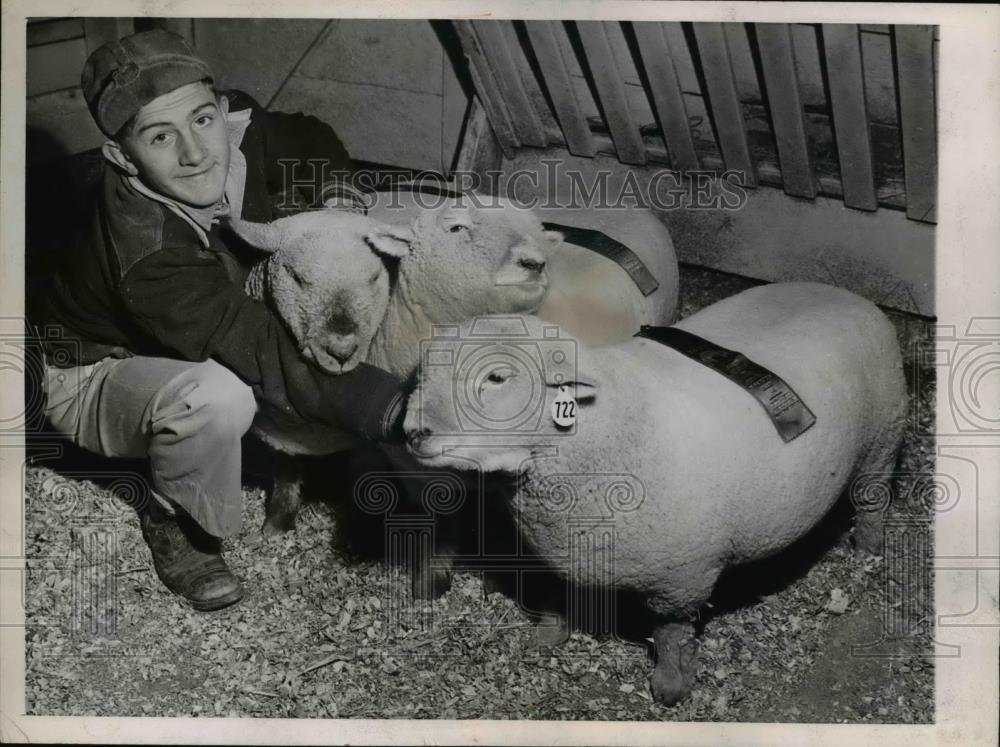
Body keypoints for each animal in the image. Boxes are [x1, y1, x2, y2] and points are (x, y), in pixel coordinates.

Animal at [402, 282, 912, 708]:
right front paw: (548, 637)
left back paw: (868, 549)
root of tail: (847, 293)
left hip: (882, 439)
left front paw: (671, 687)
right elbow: (554, 596)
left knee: (871, 499)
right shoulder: (561, 549)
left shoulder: (681, 577)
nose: (411, 432)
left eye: (497, 378)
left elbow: (670, 636)